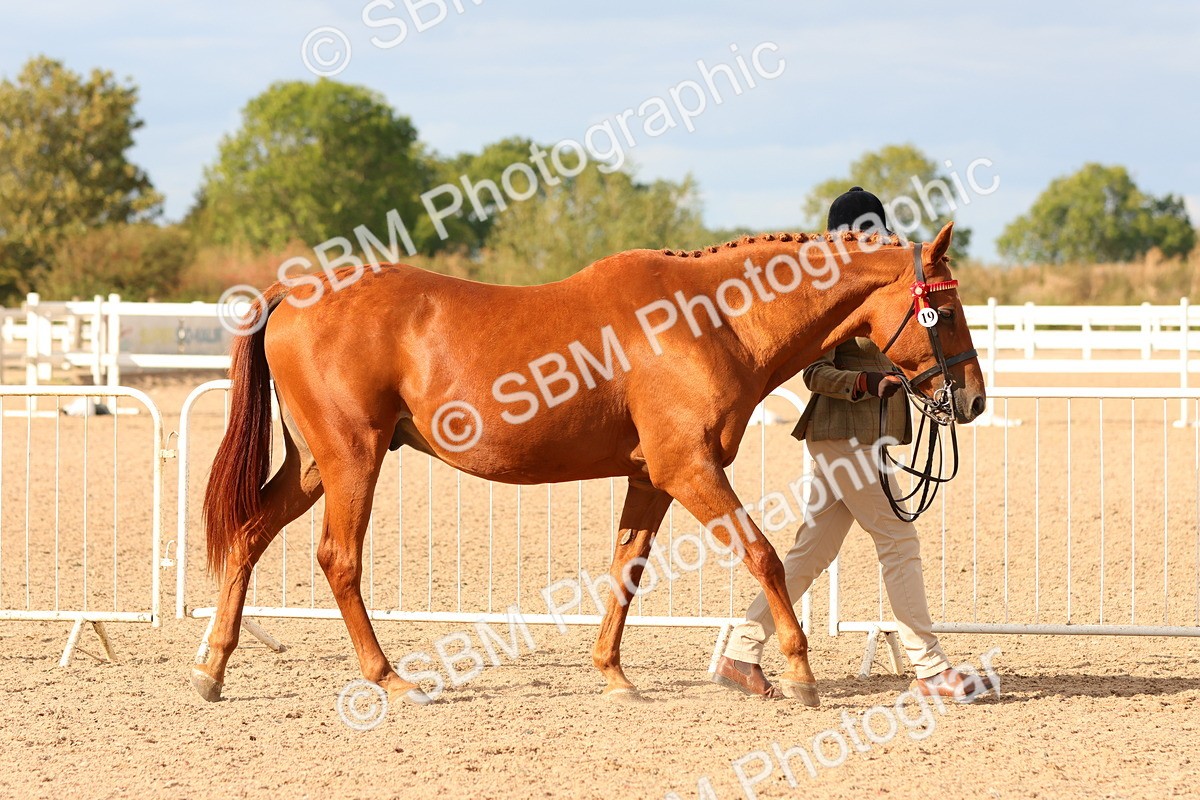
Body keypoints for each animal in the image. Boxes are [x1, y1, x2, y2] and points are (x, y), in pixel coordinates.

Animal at [192, 221, 984, 709]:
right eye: (944, 311)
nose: (972, 399)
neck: (710, 317)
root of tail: (294, 292)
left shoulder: (649, 478)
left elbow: (626, 570)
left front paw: (614, 675)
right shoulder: (689, 470)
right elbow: (763, 555)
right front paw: (799, 673)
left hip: (314, 465)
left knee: (251, 535)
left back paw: (212, 668)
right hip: (352, 458)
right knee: (338, 559)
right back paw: (389, 678)